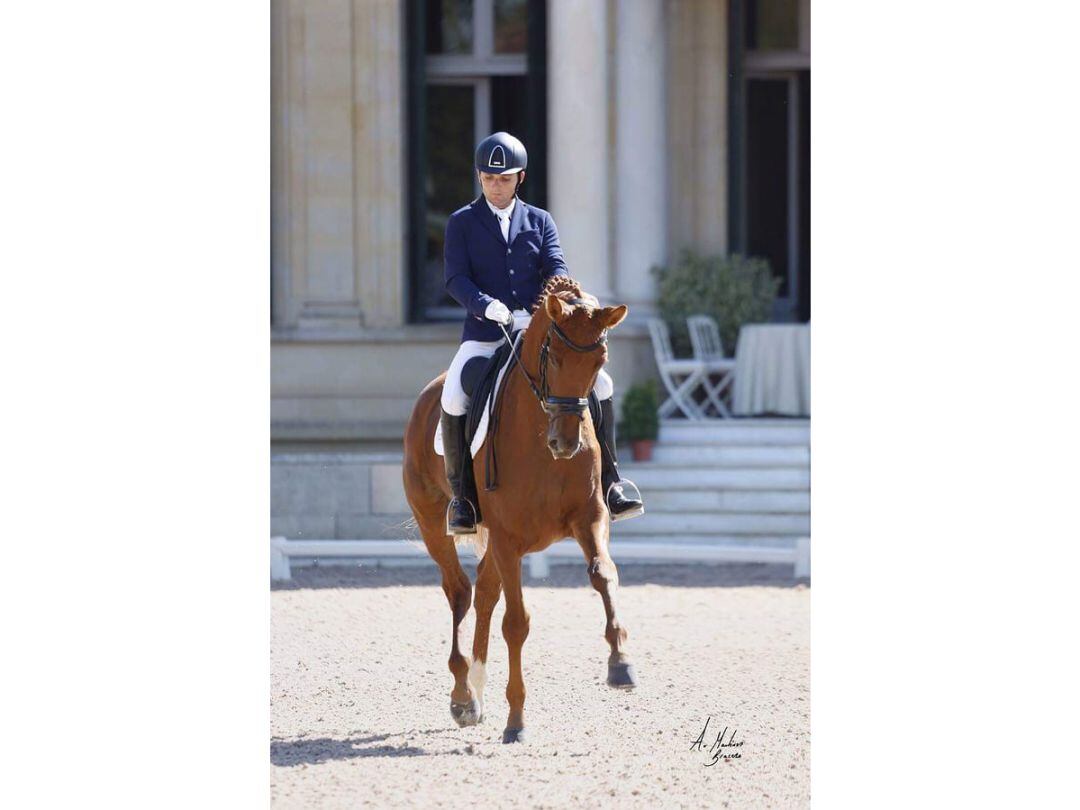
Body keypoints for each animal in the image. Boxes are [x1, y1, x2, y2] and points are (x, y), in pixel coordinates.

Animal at [406, 280, 639, 747]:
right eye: (554, 356)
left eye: (600, 361)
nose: (565, 444)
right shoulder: (508, 539)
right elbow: (516, 623)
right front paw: (516, 721)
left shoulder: (589, 518)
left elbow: (604, 575)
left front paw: (620, 663)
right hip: (434, 523)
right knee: (459, 591)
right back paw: (462, 696)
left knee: (483, 591)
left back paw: (476, 692)